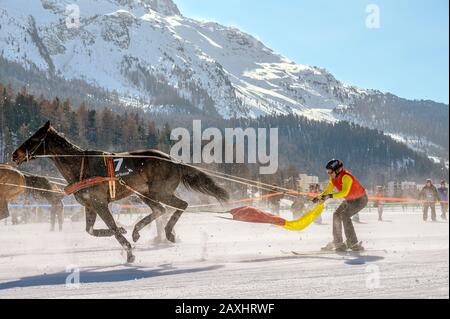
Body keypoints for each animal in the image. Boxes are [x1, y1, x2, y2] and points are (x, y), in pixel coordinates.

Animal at [13, 121, 229, 264]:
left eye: (34, 138)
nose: (15, 154)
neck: (81, 166)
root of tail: (174, 161)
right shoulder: (90, 205)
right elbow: (91, 230)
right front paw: (125, 233)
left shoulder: (100, 203)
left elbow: (113, 229)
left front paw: (129, 251)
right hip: (144, 193)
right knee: (160, 210)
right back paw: (137, 231)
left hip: (160, 192)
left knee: (180, 205)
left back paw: (168, 232)